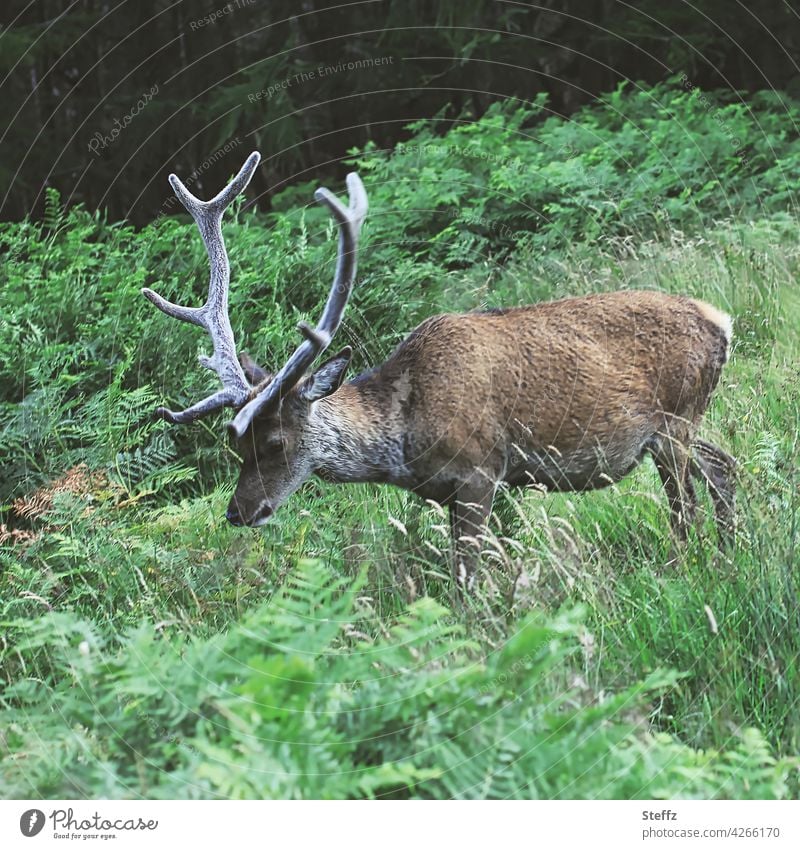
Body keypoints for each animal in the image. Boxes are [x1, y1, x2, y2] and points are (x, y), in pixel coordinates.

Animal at [145, 152, 736, 588]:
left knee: (685, 508)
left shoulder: (480, 472)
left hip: (673, 420)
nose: (237, 513)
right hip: (680, 425)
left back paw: (691, 568)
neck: (405, 438)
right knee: (724, 464)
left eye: (274, 442)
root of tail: (722, 322)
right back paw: (730, 554)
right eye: (235, 445)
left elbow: (466, 579)